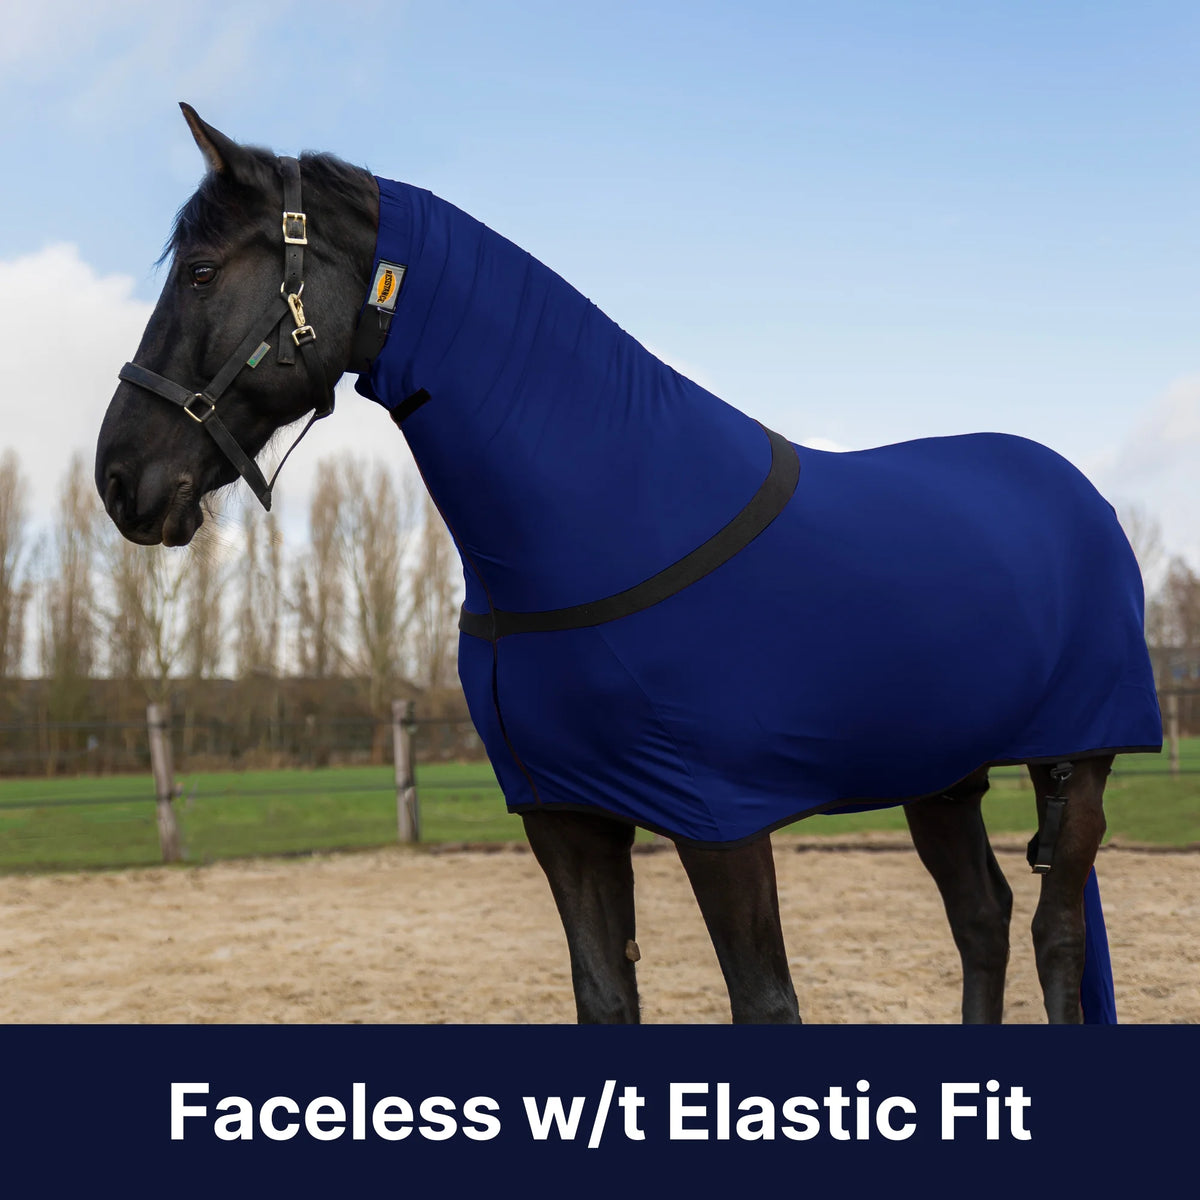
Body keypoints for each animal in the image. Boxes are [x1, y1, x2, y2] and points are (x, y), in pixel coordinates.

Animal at [95, 105, 1162, 1024]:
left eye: (200, 271)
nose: (120, 479)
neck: (608, 515)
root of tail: (1078, 496)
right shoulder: (566, 820)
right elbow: (606, 998)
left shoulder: (722, 822)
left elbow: (766, 1003)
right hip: (940, 774)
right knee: (981, 920)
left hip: (1081, 763)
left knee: (1055, 936)